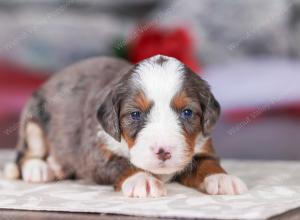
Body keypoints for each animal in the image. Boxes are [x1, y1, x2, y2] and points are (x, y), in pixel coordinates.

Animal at [5, 55, 248, 198]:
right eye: (135, 114)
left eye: (187, 112)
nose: (163, 151)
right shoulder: (97, 153)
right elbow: (123, 165)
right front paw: (143, 180)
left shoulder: (202, 147)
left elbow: (208, 164)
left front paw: (222, 179)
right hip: (34, 120)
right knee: (26, 154)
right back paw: (41, 169)